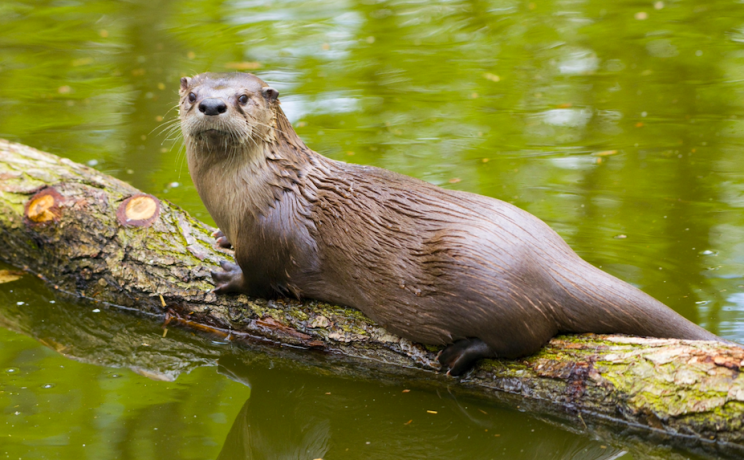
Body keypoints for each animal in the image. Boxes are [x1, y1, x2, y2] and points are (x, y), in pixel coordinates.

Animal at [182, 71, 732, 374]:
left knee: (525, 340)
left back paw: (458, 354)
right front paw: (221, 239)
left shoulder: (272, 236)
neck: (255, 189)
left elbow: (264, 278)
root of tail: (555, 260)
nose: (212, 104)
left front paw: (228, 277)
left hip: (491, 291)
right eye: (192, 96)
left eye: (244, 98)